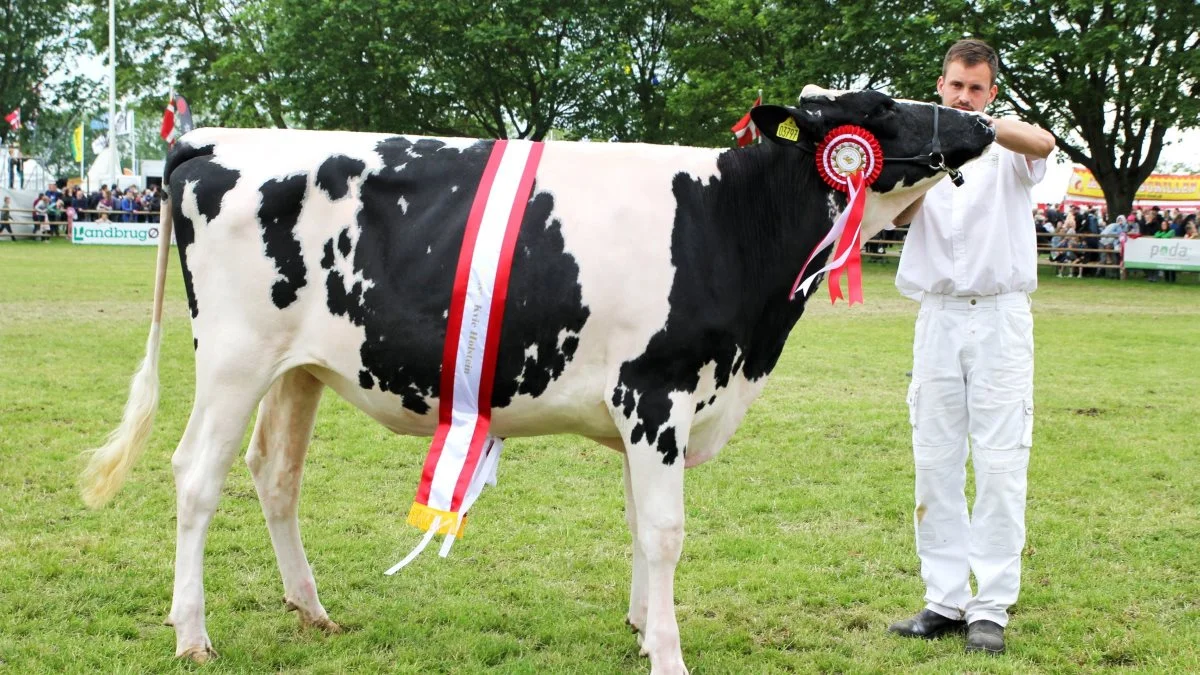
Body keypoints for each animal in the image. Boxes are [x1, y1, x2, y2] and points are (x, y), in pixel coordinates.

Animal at [79, 86, 988, 667]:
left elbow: (637, 524)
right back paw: (192, 634)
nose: (979, 119)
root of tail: (212, 140)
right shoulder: (656, 392)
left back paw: (311, 608)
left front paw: (639, 626)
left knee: (275, 475)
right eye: (878, 109)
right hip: (233, 357)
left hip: (298, 366)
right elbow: (666, 531)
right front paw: (668, 651)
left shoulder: (646, 412)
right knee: (197, 475)